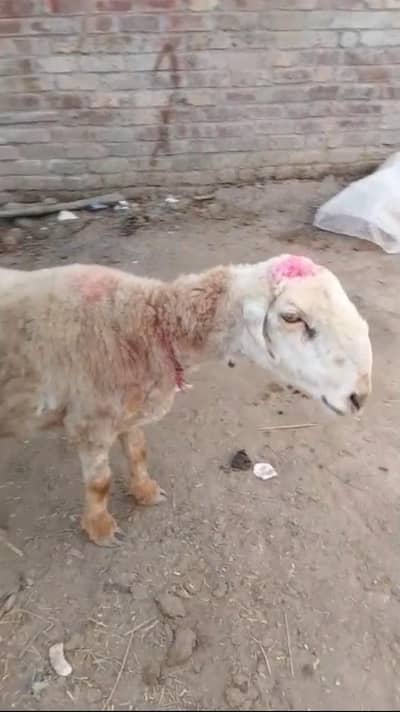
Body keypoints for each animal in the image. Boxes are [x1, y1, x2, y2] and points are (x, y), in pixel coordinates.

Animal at [0, 254, 372, 546]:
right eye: (292, 317)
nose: (360, 396)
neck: (150, 323)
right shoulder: (90, 420)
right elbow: (99, 482)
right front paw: (101, 528)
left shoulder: (127, 410)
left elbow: (138, 452)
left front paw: (147, 491)